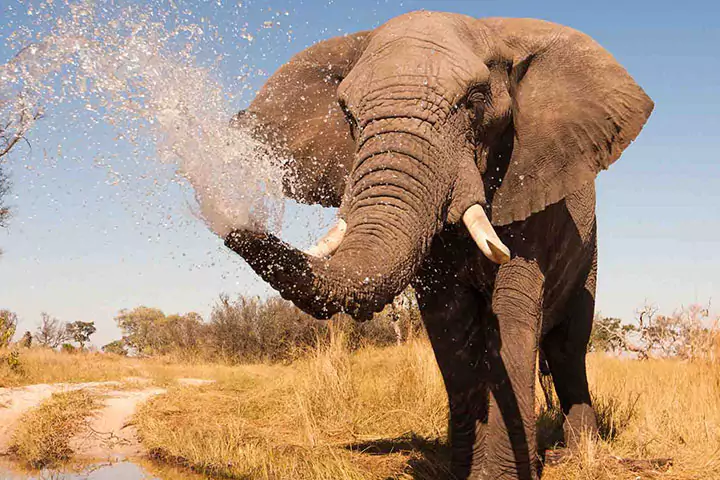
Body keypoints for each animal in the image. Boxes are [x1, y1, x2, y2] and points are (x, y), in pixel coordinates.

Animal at [224, 12, 652, 480]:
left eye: (475, 101)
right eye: (348, 115)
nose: (230, 221)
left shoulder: (531, 187)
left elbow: (512, 311)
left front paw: (501, 476)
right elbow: (449, 321)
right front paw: (465, 470)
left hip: (588, 255)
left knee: (568, 348)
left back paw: (576, 455)